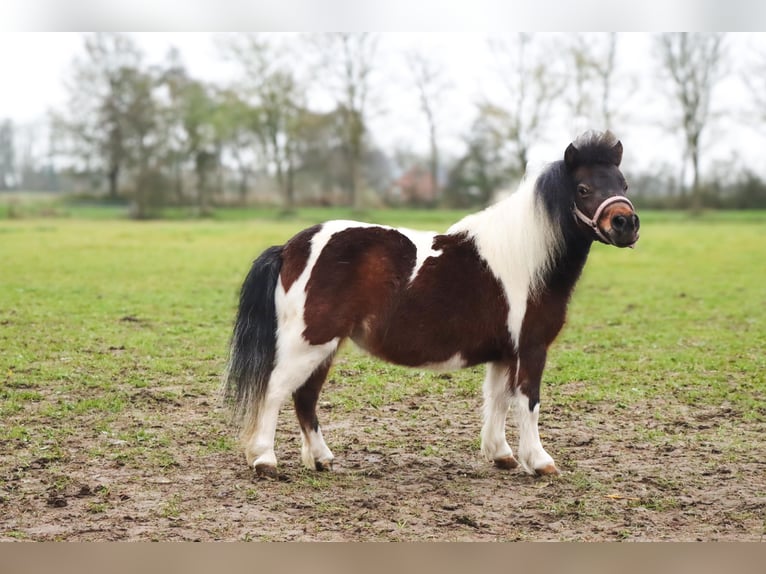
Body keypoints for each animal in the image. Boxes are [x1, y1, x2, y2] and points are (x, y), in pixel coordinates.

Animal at [225, 130, 640, 476]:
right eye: (583, 188)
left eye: (623, 183)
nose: (626, 224)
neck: (528, 258)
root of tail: (290, 248)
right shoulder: (531, 348)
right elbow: (528, 402)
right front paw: (539, 462)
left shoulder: (505, 353)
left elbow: (498, 400)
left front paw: (501, 454)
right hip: (308, 343)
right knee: (275, 391)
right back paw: (264, 460)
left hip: (322, 347)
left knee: (305, 398)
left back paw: (322, 459)